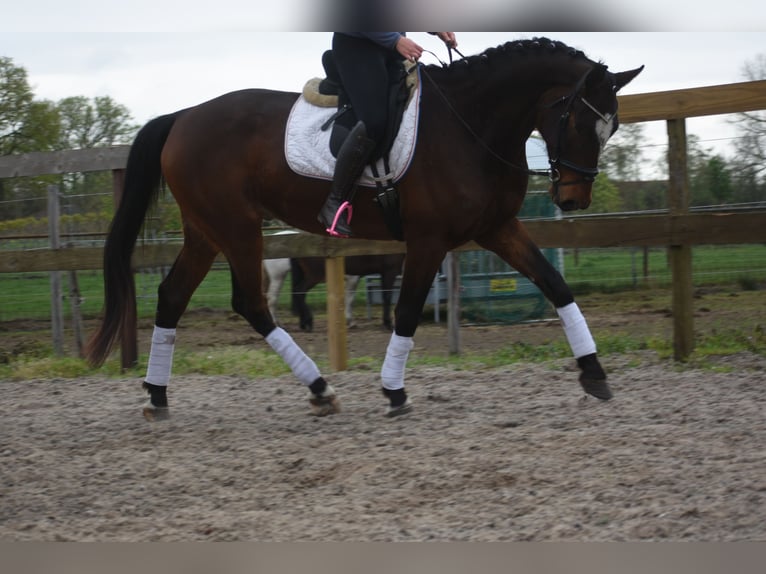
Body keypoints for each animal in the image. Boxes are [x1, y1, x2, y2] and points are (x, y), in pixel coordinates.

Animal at [84, 37, 642, 419]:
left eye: (611, 126)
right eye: (578, 120)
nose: (573, 198)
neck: (470, 123)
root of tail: (184, 116)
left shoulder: (497, 229)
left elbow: (556, 285)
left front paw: (594, 372)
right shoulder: (427, 240)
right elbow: (408, 311)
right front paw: (394, 391)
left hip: (206, 230)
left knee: (173, 296)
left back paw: (158, 396)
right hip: (236, 226)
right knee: (251, 303)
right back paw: (320, 389)